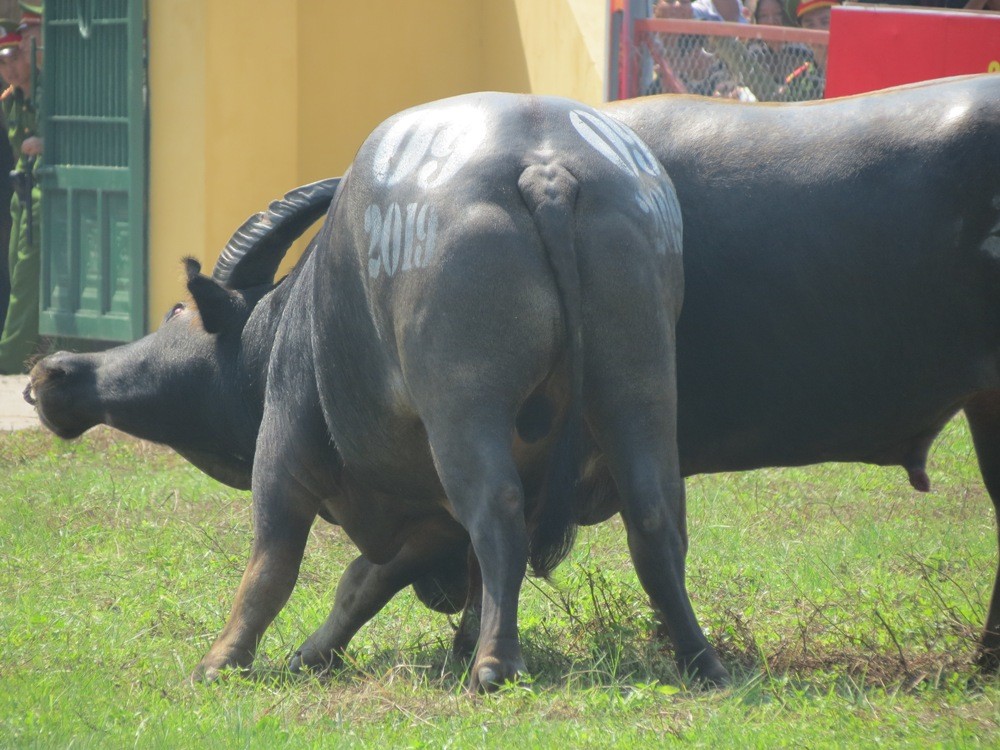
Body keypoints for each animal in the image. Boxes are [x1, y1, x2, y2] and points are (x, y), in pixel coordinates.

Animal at [25, 94, 728, 692]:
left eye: (176, 312)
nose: (53, 371)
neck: (290, 321)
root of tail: (546, 172)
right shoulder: (425, 515)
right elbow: (366, 579)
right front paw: (313, 652)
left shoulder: (285, 449)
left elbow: (272, 566)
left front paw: (221, 661)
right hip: (638, 384)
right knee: (653, 514)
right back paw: (700, 658)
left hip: (463, 404)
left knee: (498, 513)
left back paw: (495, 664)